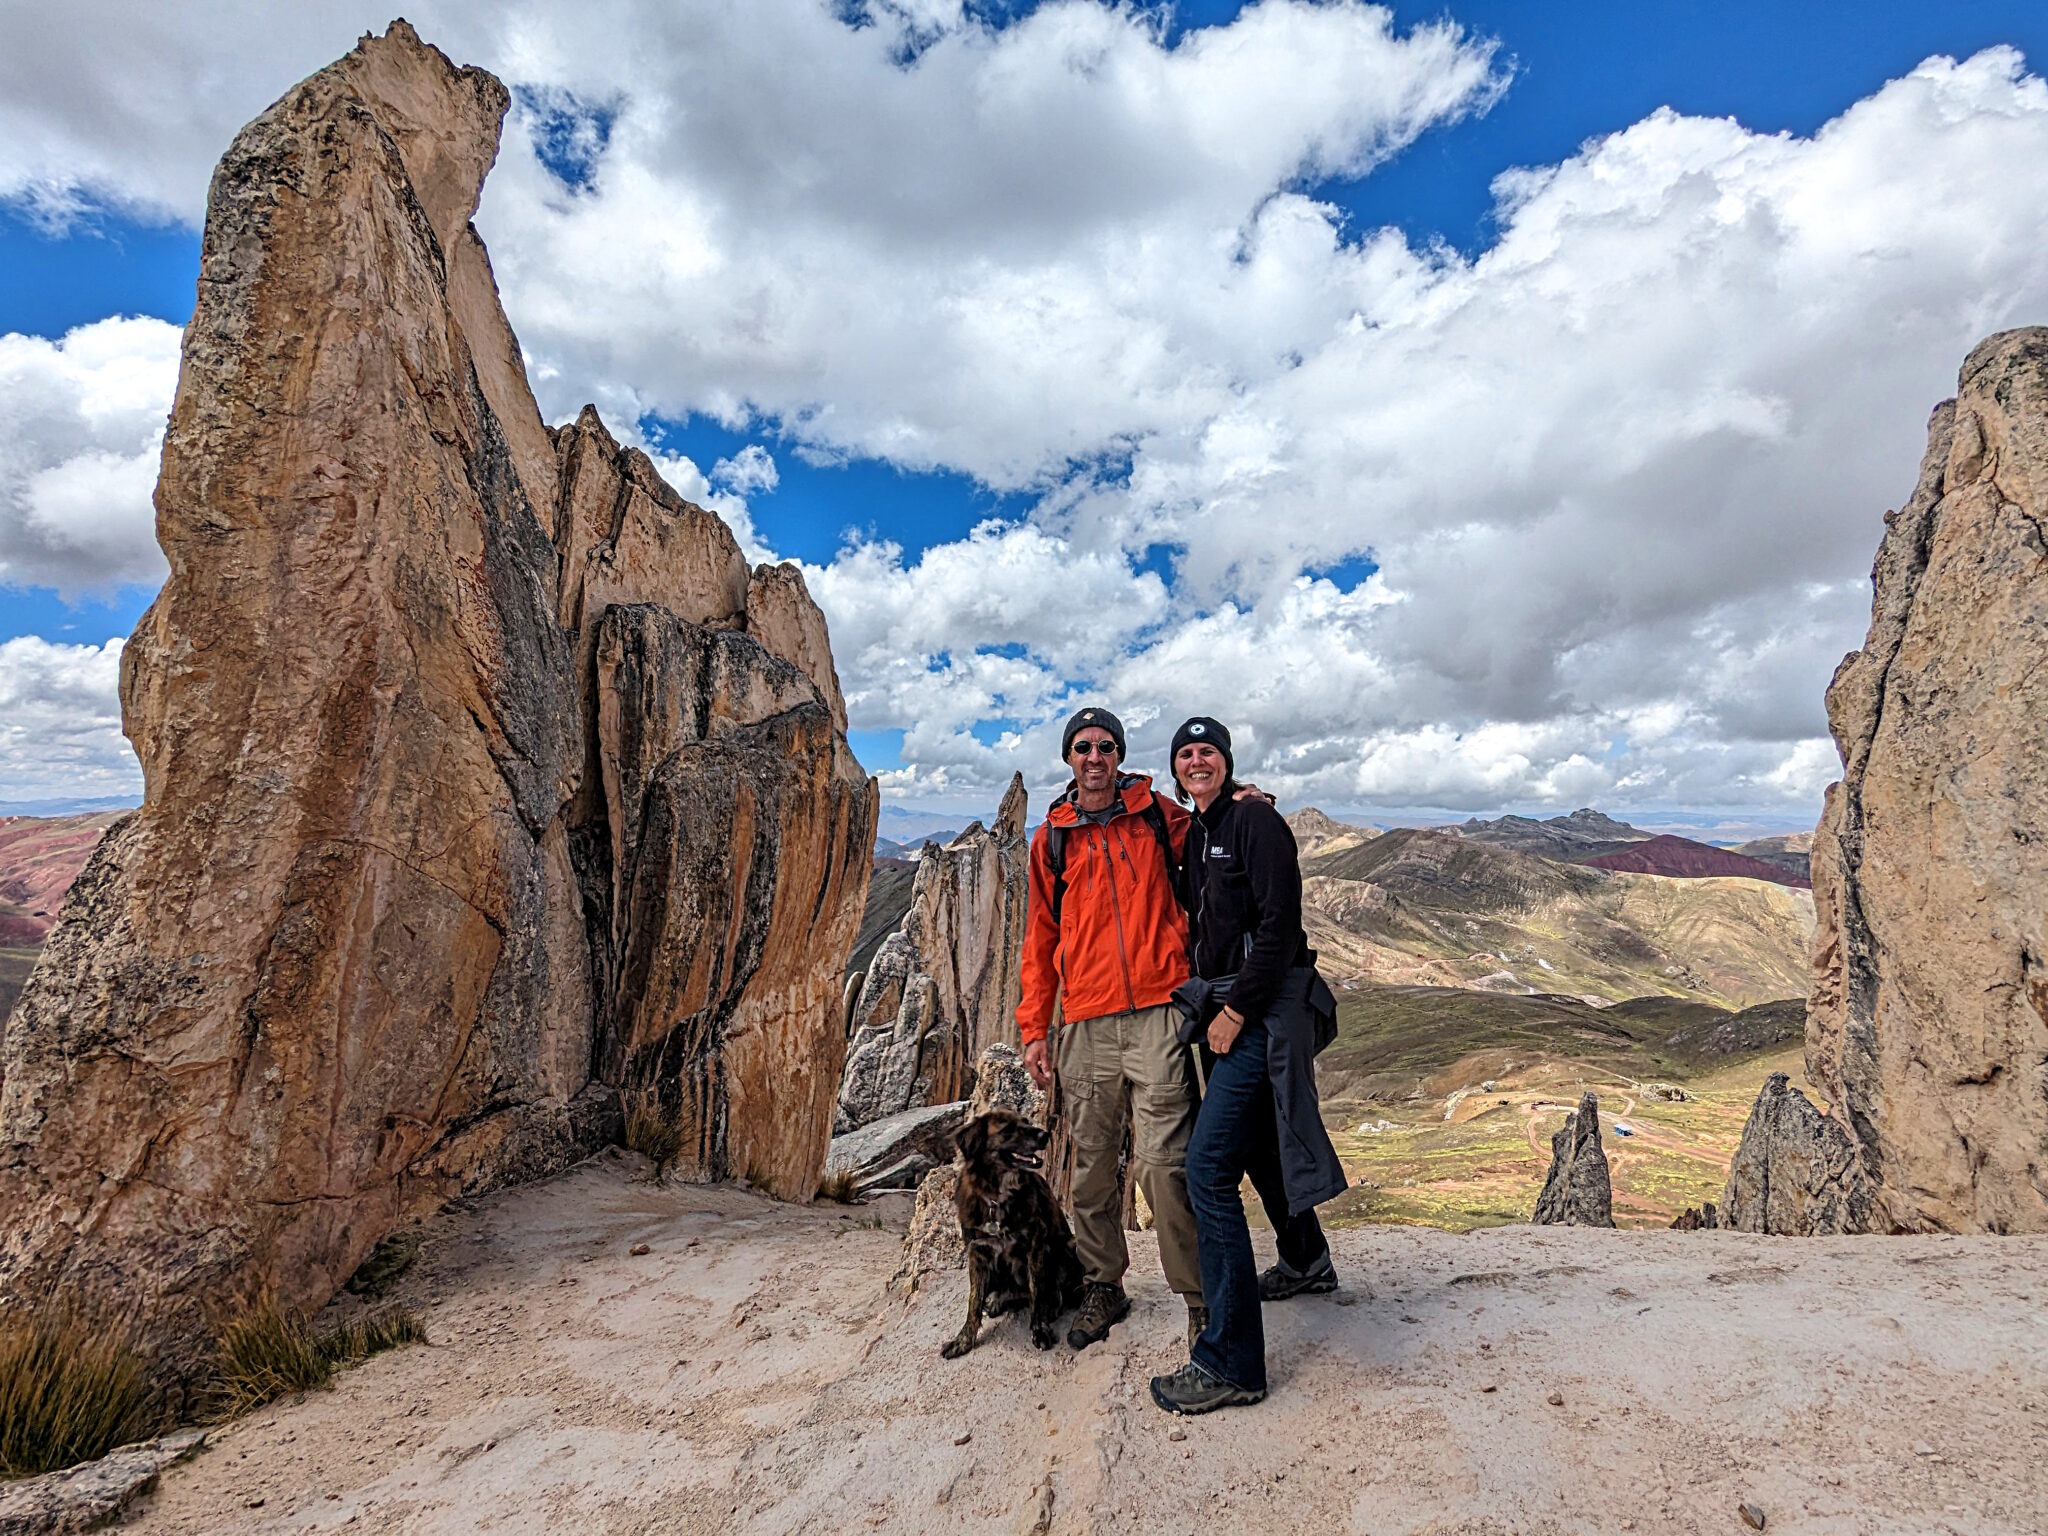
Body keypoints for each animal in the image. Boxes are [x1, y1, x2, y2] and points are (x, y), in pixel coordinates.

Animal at [942, 1114, 1089, 1351]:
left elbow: (1037, 1293)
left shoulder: (1035, 1246)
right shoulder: (977, 1251)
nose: (1044, 1135)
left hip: (1071, 1245)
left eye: (1026, 1121)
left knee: (1054, 1292)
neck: (997, 1196)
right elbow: (973, 1301)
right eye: (1008, 1129)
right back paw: (997, 1300)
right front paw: (963, 1340)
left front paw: (1039, 1328)